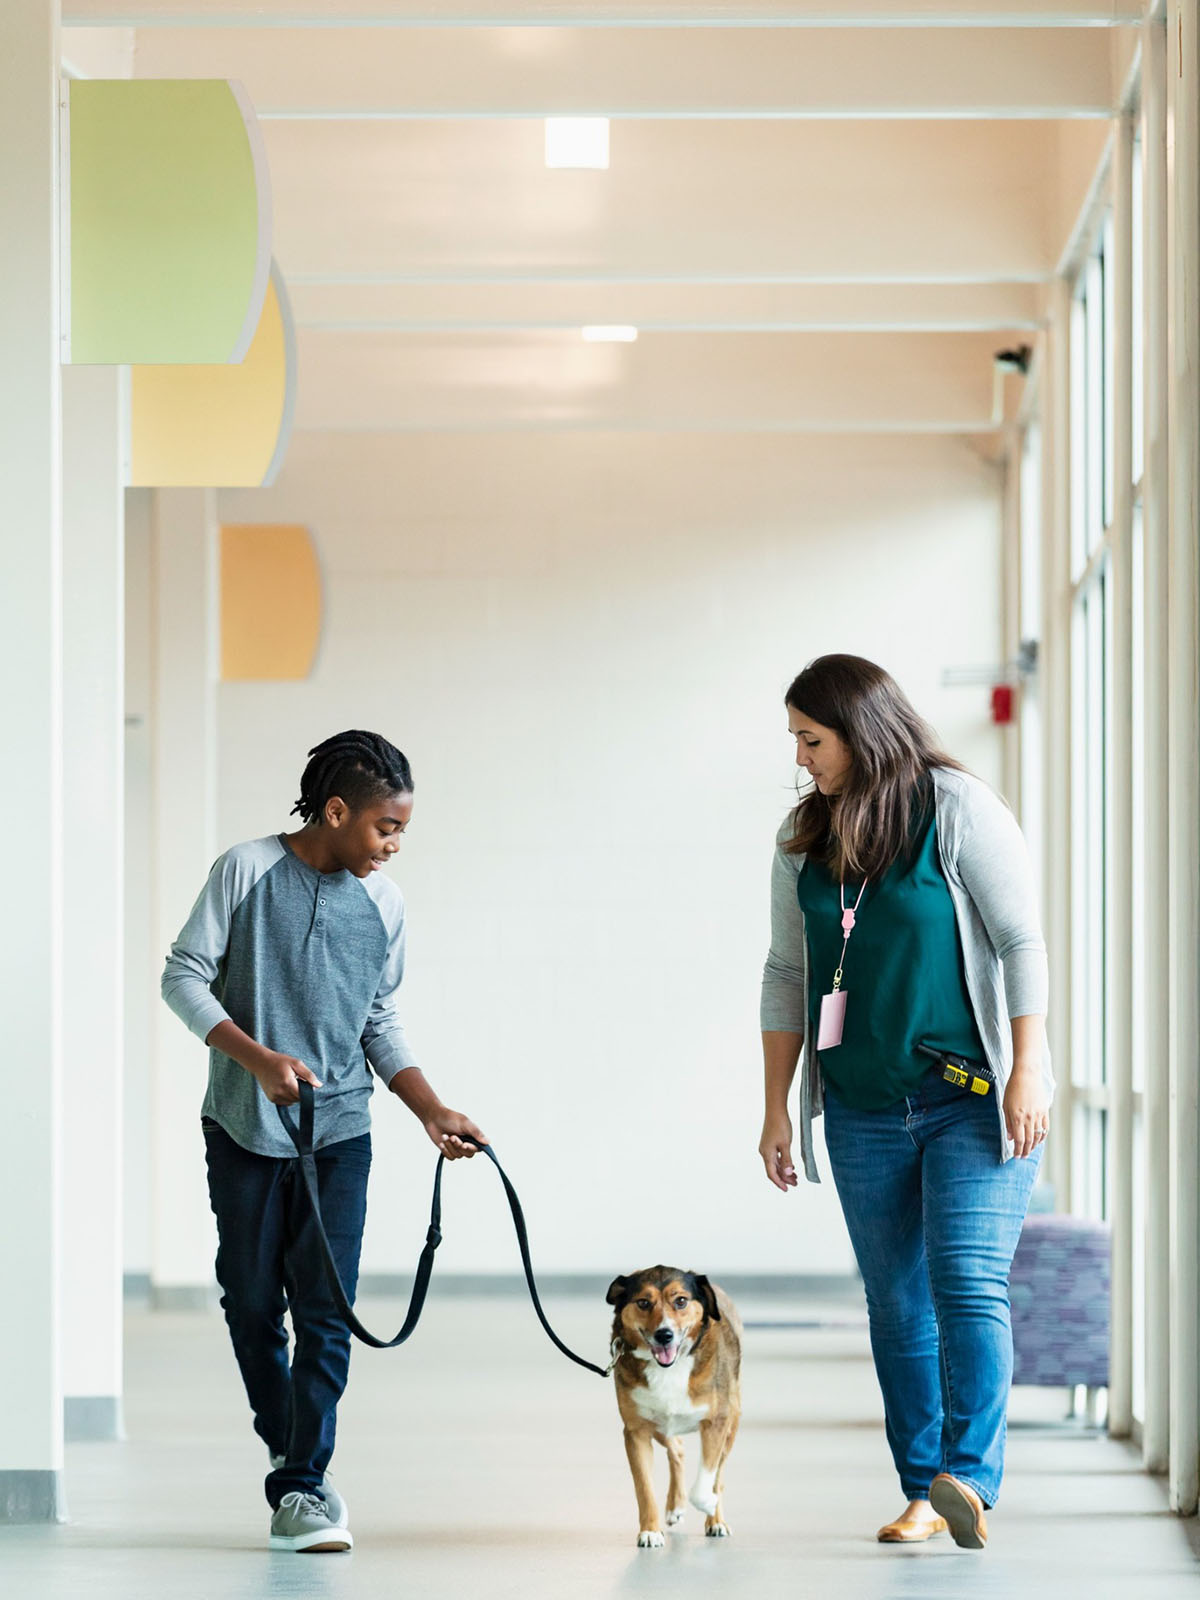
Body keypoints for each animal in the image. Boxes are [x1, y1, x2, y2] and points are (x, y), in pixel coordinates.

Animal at [611, 1267, 742, 1542]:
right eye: (643, 1302)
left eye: (681, 1301)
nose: (664, 1334)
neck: (670, 1368)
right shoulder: (636, 1431)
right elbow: (644, 1488)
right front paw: (650, 1531)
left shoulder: (717, 1423)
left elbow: (707, 1479)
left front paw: (708, 1503)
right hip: (661, 1426)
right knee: (677, 1448)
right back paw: (675, 1506)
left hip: (732, 1422)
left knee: (718, 1474)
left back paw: (716, 1520)